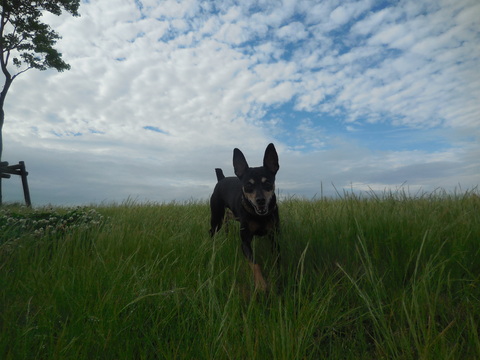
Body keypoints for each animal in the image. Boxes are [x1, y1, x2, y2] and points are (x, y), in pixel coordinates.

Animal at [208, 143, 280, 290]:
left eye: (267, 183)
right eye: (248, 185)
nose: (260, 200)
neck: (259, 216)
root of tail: (221, 179)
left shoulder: (274, 237)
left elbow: (276, 260)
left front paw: (278, 277)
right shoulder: (245, 242)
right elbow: (254, 263)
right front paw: (261, 284)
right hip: (217, 218)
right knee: (212, 232)